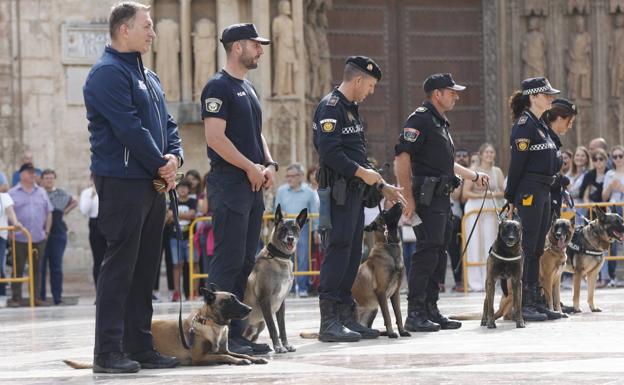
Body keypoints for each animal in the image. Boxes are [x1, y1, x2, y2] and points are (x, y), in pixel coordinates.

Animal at [62, 284, 266, 368]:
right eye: (229, 301)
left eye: (237, 298)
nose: (249, 309)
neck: (212, 323)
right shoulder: (200, 357)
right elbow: (226, 356)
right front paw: (240, 361)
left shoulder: (223, 349)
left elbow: (238, 353)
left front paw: (253, 358)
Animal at [241, 204, 308, 354]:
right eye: (283, 229)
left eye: (295, 228)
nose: (290, 239)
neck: (278, 257)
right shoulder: (265, 299)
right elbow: (273, 327)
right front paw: (278, 346)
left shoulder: (281, 303)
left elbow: (282, 327)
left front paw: (286, 345)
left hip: (259, 325)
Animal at [352, 202, 410, 338]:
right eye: (383, 212)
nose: (399, 203)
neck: (389, 244)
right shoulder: (381, 292)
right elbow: (387, 316)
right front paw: (392, 333)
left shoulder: (395, 292)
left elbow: (398, 314)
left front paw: (402, 331)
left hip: (374, 308)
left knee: (369, 327)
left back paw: (378, 332)